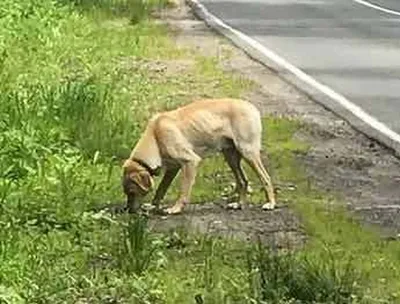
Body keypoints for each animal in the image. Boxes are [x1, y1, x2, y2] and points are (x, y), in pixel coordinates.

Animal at [121, 97, 276, 214]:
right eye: (127, 193)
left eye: (132, 192)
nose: (129, 211)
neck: (155, 135)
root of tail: (251, 107)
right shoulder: (173, 168)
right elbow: (161, 189)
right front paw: (153, 205)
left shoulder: (190, 162)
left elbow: (183, 191)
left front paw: (176, 208)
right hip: (231, 157)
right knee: (243, 181)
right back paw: (239, 204)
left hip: (247, 152)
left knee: (265, 178)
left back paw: (271, 203)